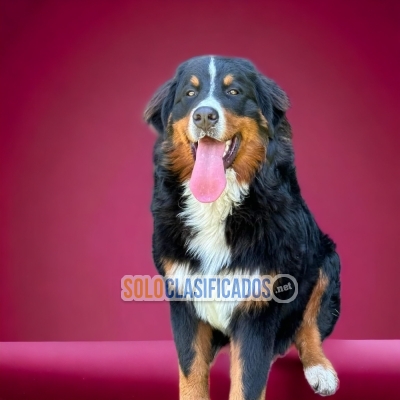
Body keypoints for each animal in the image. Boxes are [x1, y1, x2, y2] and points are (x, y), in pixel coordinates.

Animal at [144, 56, 340, 400]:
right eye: (190, 94)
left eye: (233, 91)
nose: (204, 115)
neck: (217, 205)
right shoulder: (183, 296)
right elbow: (191, 372)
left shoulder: (258, 306)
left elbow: (248, 382)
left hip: (326, 259)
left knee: (308, 326)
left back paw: (320, 369)